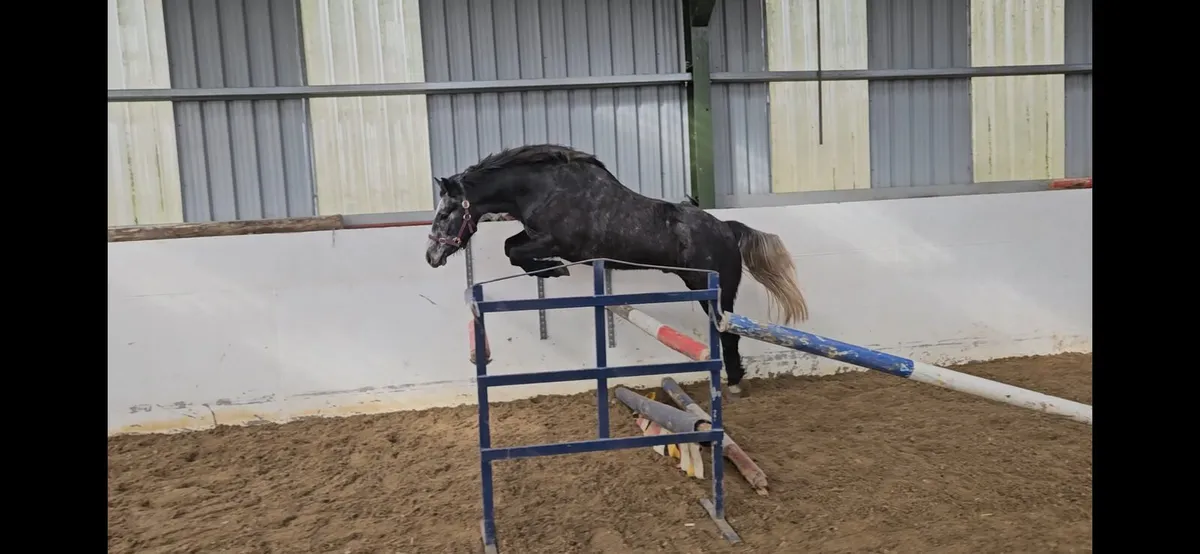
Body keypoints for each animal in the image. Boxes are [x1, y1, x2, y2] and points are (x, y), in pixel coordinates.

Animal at [424, 144, 809, 396]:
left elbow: (514, 251)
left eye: (444, 213)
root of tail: (727, 228)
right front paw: (550, 272)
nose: (431, 256)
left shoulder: (558, 243)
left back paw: (734, 383)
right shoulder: (536, 236)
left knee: (729, 331)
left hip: (712, 290)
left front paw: (554, 272)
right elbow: (511, 248)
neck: (543, 187)